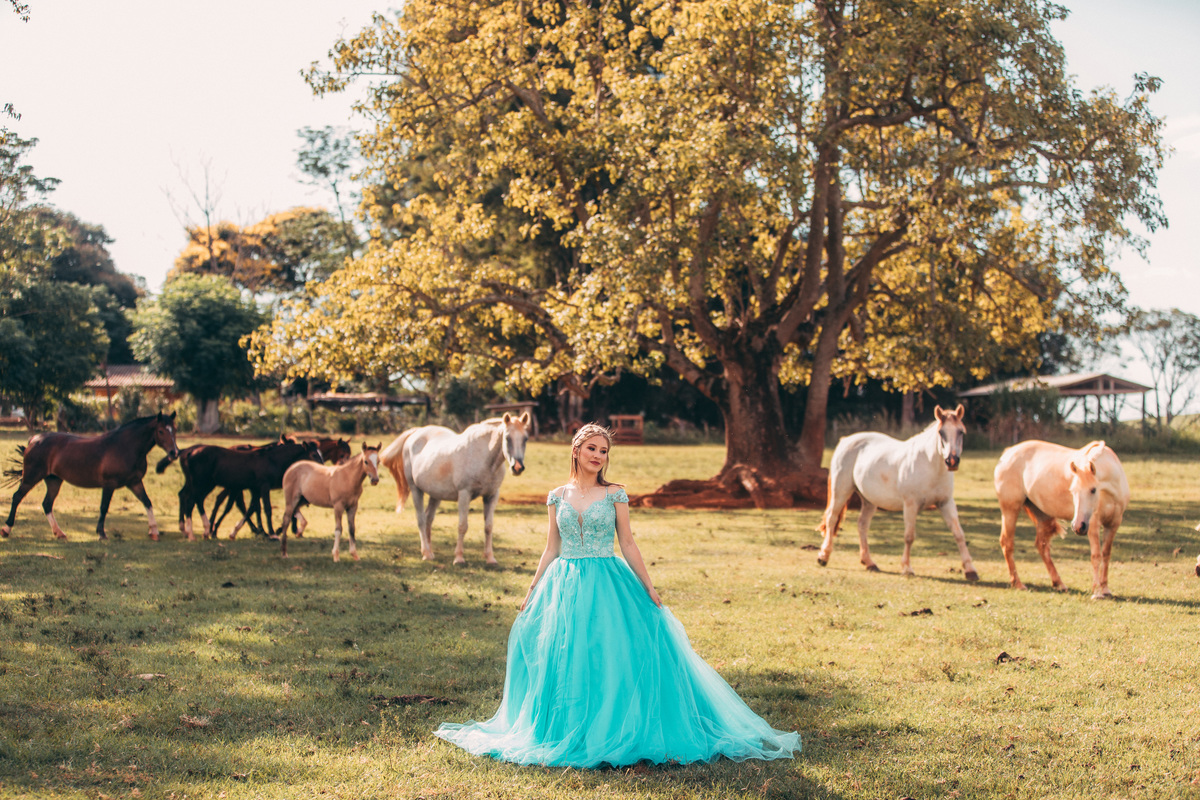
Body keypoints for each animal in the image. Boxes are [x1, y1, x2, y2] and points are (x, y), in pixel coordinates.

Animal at [2, 412, 179, 541]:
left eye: (174, 430)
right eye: (161, 431)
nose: (174, 452)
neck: (125, 447)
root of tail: (34, 439)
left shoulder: (134, 482)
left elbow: (147, 502)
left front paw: (154, 531)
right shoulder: (109, 484)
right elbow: (104, 507)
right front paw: (101, 533)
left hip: (54, 481)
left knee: (47, 504)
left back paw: (59, 533)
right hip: (31, 478)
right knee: (17, 497)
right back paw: (6, 529)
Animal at [156, 439, 323, 540]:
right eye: (314, 454)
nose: (322, 467)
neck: (272, 460)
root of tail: (187, 451)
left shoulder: (255, 489)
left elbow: (252, 508)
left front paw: (237, 532)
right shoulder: (263, 487)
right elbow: (266, 509)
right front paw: (272, 533)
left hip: (203, 484)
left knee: (189, 497)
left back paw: (200, 530)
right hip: (202, 483)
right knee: (192, 500)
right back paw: (195, 532)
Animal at [381, 412, 531, 565]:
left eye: (525, 438)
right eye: (507, 438)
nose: (518, 467)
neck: (483, 456)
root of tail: (416, 432)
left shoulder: (491, 496)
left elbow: (488, 527)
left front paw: (490, 558)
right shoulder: (464, 494)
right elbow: (462, 526)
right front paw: (459, 558)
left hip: (436, 494)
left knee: (428, 518)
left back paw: (431, 551)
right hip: (416, 489)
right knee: (421, 519)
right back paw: (426, 553)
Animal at [816, 404, 979, 581]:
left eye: (960, 431)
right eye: (941, 432)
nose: (952, 461)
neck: (930, 465)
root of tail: (845, 440)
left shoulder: (946, 503)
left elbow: (959, 534)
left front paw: (970, 570)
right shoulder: (910, 504)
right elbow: (909, 536)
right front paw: (907, 568)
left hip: (869, 501)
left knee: (862, 525)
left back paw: (869, 563)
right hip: (841, 491)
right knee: (832, 519)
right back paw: (823, 557)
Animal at [994, 439, 1129, 599]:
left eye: (1093, 490)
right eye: (1072, 491)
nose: (1077, 526)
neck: (1110, 491)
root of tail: (1007, 453)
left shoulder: (1113, 524)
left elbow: (1106, 554)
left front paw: (1106, 589)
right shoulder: (1093, 525)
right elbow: (1096, 556)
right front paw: (1097, 592)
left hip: (1042, 515)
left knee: (1042, 546)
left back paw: (1059, 583)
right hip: (1010, 510)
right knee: (1007, 543)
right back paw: (1018, 584)